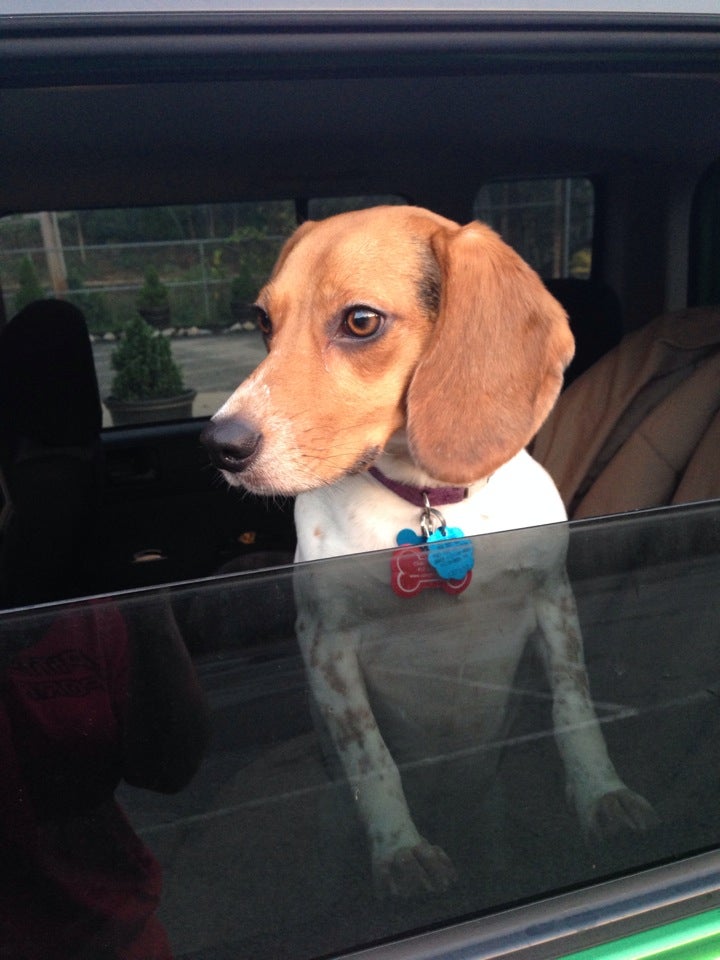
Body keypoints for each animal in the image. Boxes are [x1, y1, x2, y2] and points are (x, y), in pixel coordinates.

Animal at [201, 205, 657, 897]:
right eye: (263, 322)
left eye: (360, 321)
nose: (220, 444)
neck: (428, 502)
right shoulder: (325, 643)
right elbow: (371, 758)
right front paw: (401, 851)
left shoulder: (554, 602)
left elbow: (574, 708)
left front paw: (602, 795)